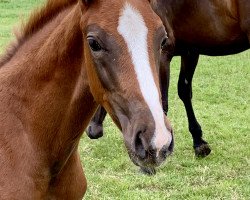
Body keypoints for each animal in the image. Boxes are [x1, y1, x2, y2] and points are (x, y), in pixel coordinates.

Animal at [86, 0, 250, 157]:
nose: (92, 130)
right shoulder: (190, 51)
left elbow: (162, 100)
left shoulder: (163, 53)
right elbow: (184, 91)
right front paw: (198, 141)